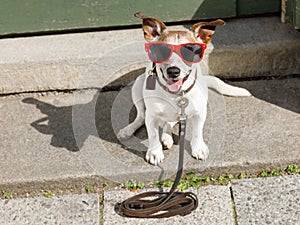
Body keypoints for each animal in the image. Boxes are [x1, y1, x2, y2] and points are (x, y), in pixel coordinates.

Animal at [117, 13, 251, 165]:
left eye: (189, 51)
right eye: (162, 50)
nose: (173, 71)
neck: (176, 94)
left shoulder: (199, 113)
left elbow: (197, 132)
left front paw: (198, 148)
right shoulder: (151, 115)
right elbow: (152, 135)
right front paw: (154, 152)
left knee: (168, 123)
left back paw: (167, 137)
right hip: (137, 86)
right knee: (140, 116)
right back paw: (128, 130)